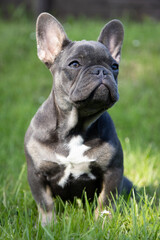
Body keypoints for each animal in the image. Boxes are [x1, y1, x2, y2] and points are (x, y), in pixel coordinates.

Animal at [24, 12, 132, 227]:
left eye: (114, 66)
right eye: (75, 64)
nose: (101, 70)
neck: (75, 128)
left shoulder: (113, 171)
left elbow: (106, 201)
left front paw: (102, 225)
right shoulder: (36, 174)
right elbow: (45, 203)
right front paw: (47, 226)